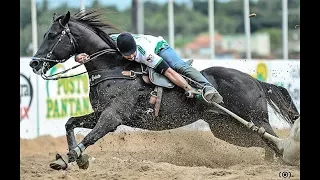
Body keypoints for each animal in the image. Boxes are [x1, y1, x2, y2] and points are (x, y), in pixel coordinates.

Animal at [28, 9, 298, 170]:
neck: (114, 68)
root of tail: (255, 80)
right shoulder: (99, 113)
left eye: (52, 35)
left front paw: (68, 158)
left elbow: (91, 136)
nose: (34, 63)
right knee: (265, 144)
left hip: (256, 119)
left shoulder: (112, 117)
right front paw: (79, 158)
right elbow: (70, 123)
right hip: (226, 128)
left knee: (274, 141)